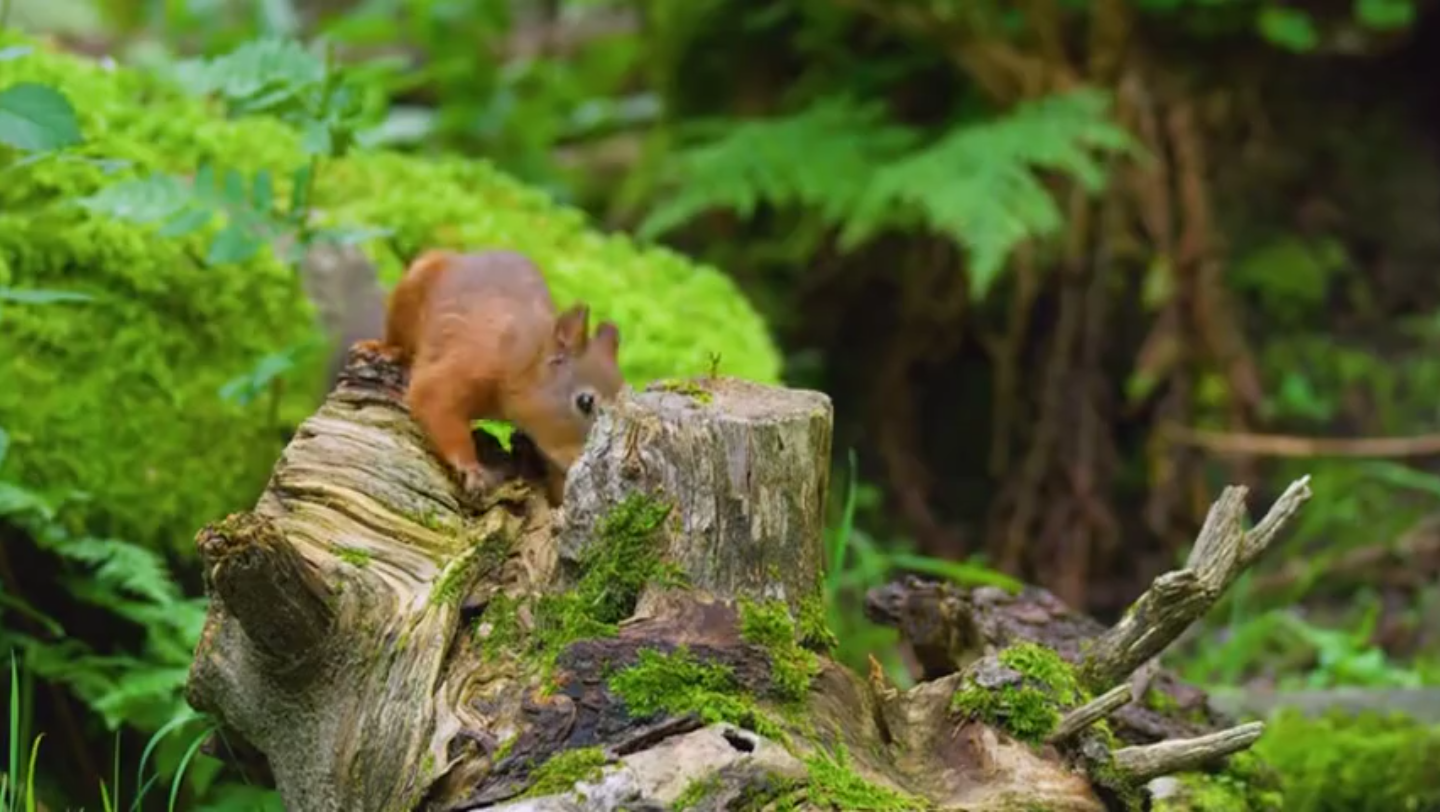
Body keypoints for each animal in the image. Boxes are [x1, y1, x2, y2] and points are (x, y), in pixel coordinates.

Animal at [374, 247, 622, 501]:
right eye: (585, 402)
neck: (520, 356)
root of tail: (465, 255)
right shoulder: (466, 365)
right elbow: (433, 401)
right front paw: (471, 468)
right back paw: (385, 349)